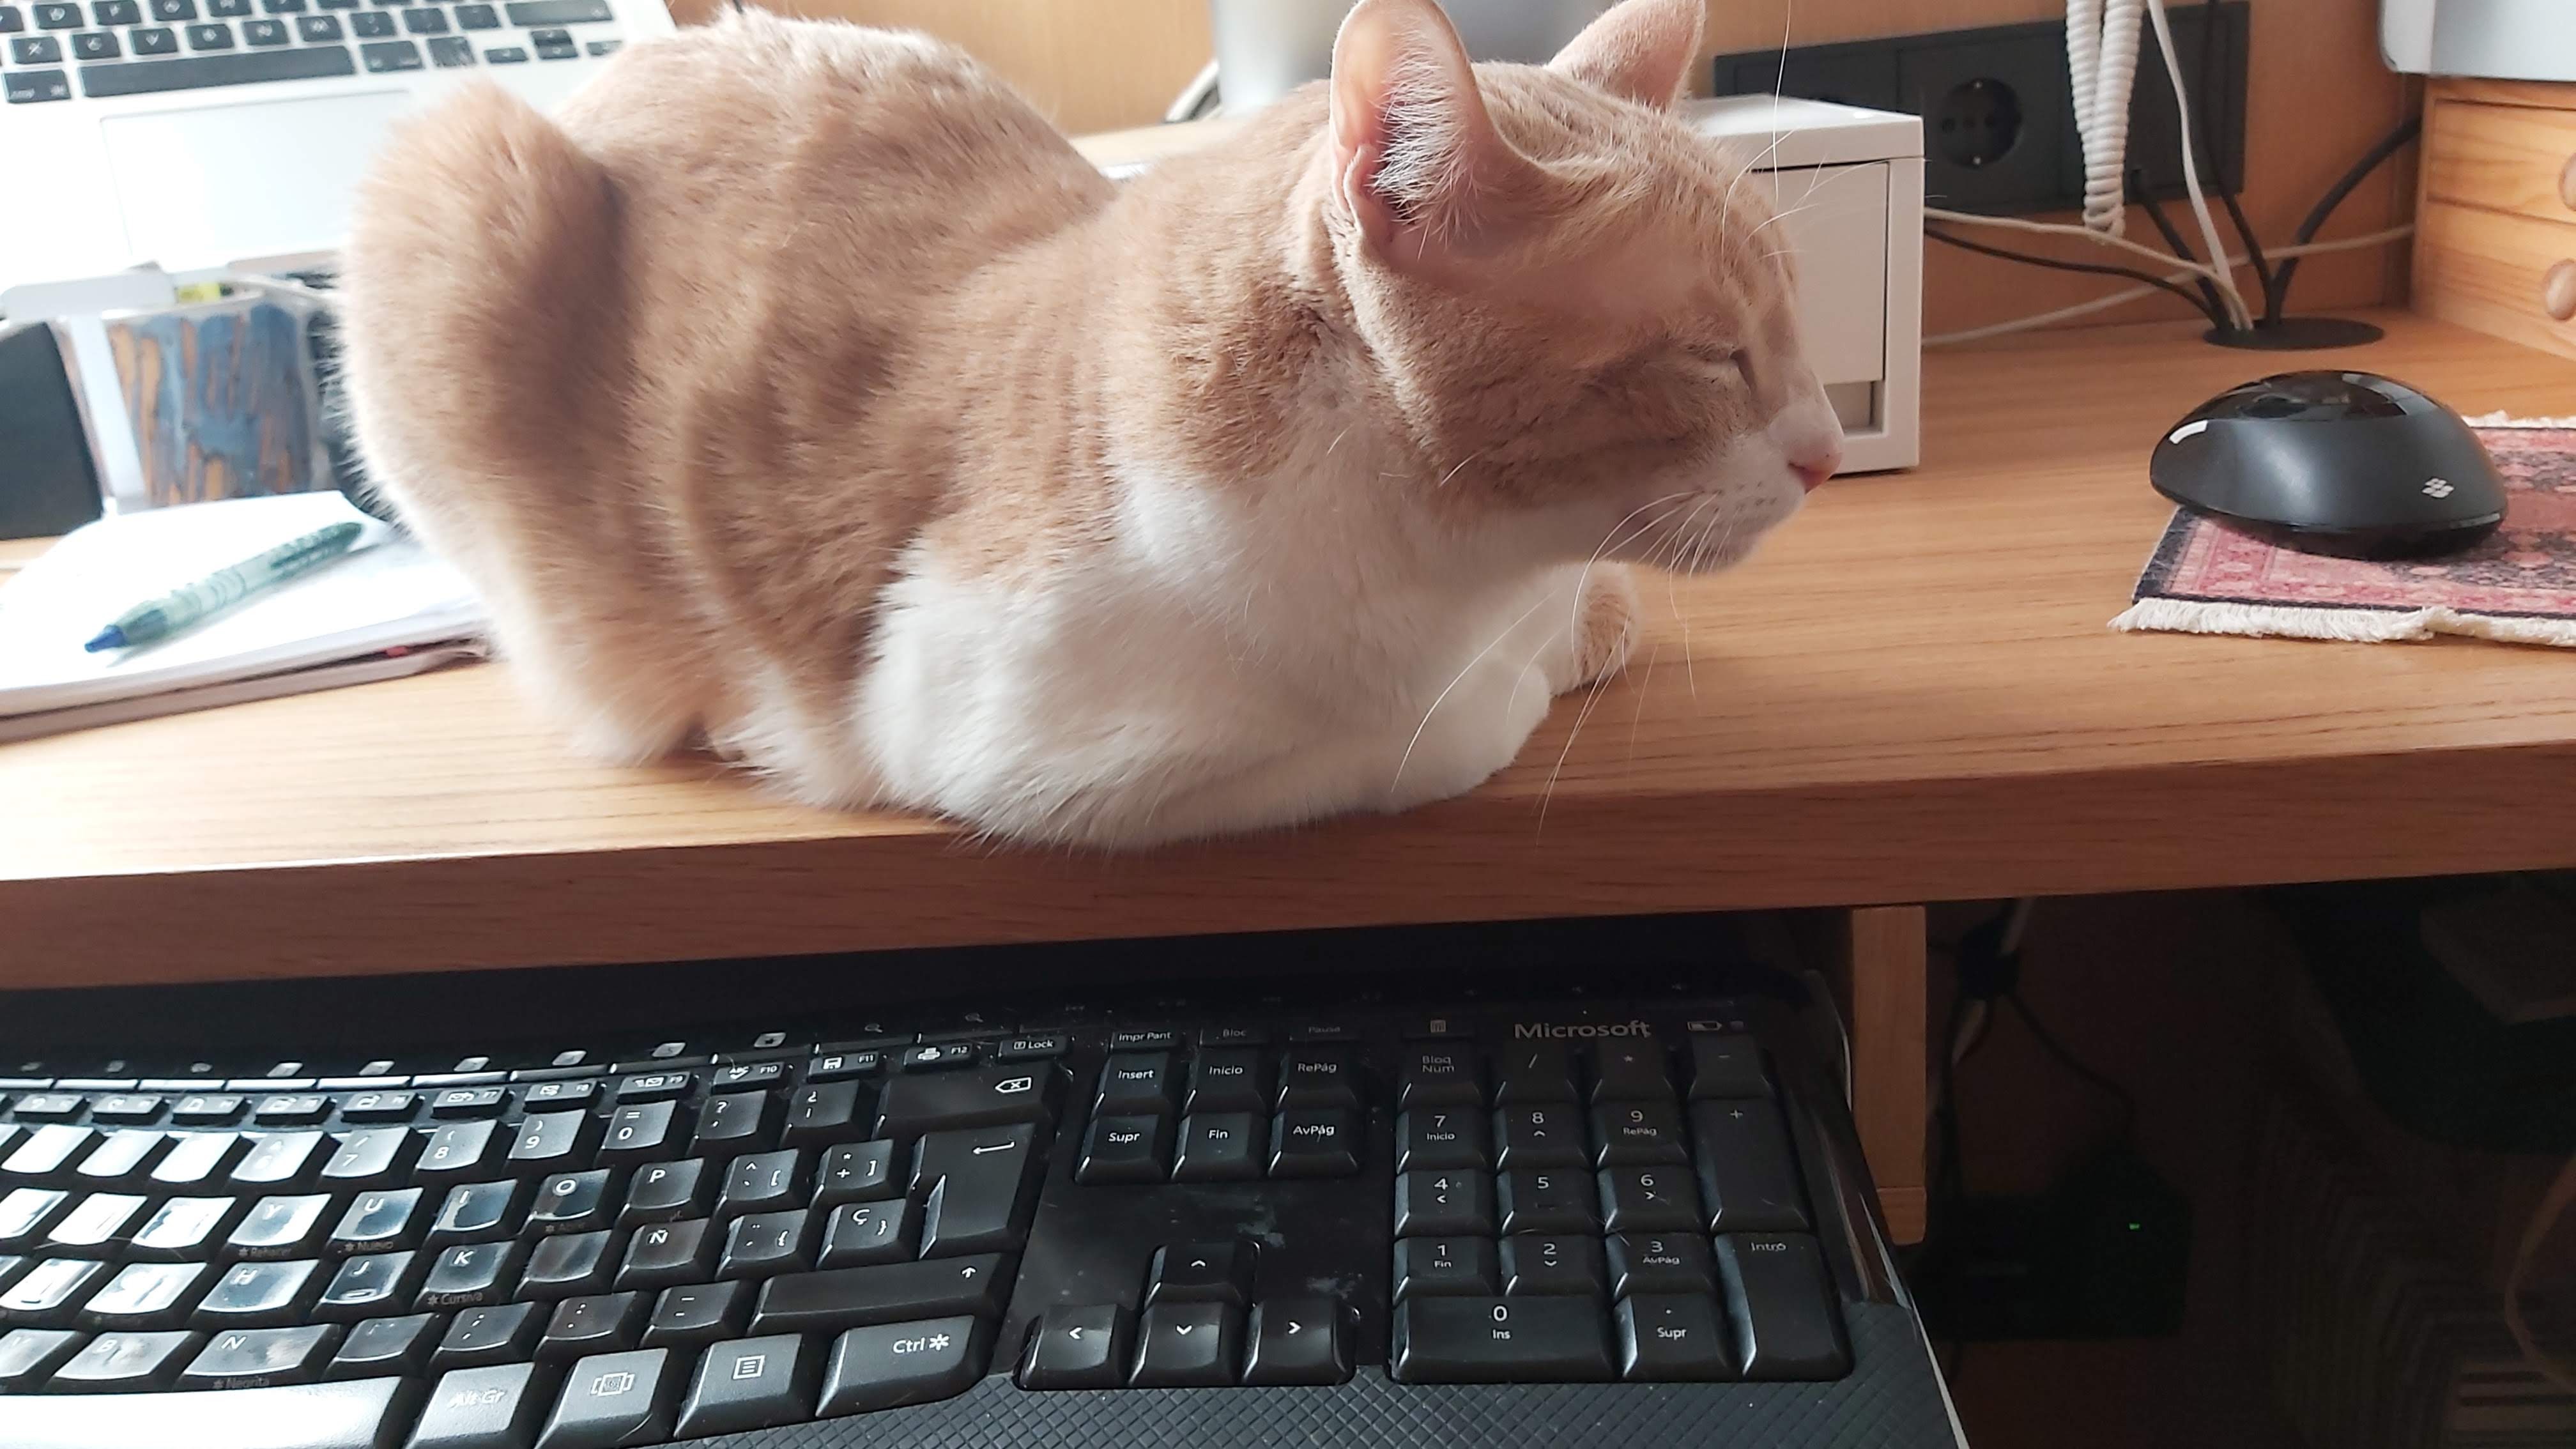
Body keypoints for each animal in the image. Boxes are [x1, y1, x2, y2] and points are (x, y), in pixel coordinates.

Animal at [338, 0, 1844, 848]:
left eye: (1797, 329)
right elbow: (1447, 737)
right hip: (461, 177)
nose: (1829, 454)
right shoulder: (1012, 747)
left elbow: (1596, 617)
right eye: (1717, 356)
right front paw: (1508, 688)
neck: (1472, 570)